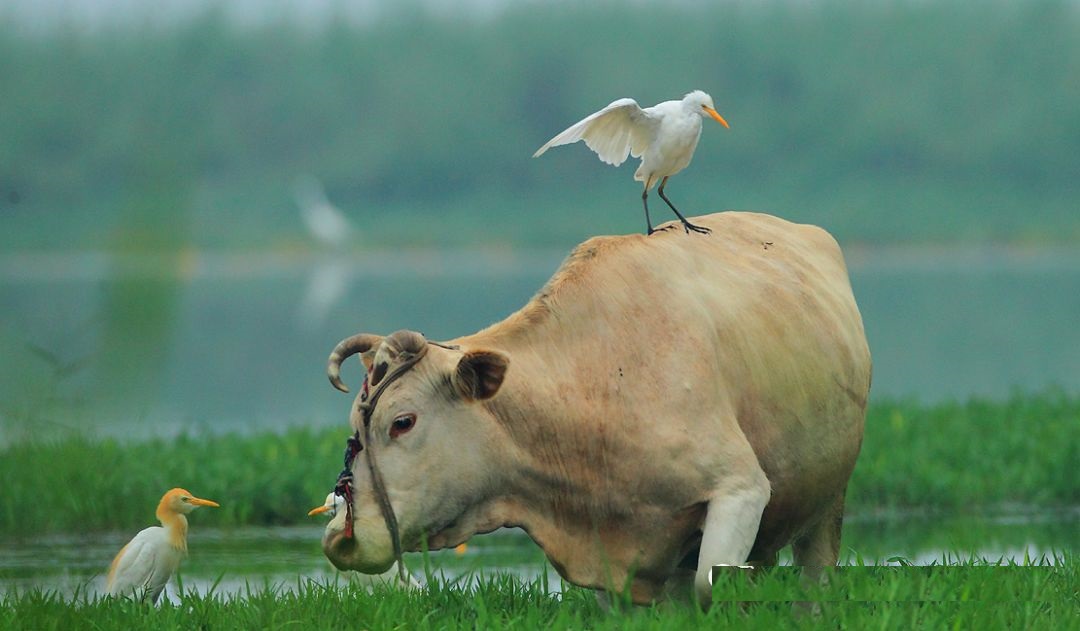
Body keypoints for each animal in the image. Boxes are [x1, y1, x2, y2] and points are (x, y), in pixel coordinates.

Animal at [319, 212, 868, 605]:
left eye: (403, 422)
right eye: (355, 428)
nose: (338, 537)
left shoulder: (741, 489)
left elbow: (708, 587)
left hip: (830, 499)